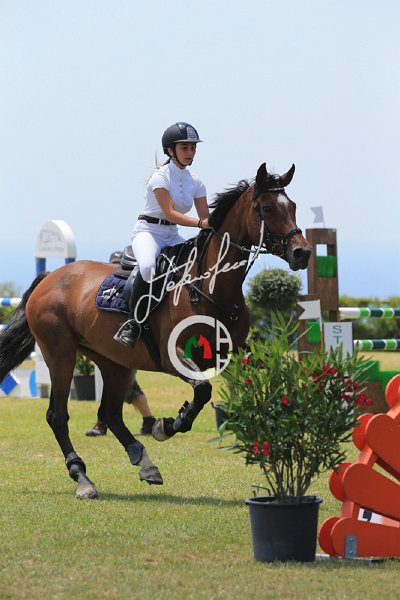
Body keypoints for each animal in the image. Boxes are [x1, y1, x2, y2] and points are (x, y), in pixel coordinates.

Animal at [0, 163, 311, 499]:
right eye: (267, 208)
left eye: (293, 206)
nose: (302, 253)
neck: (210, 287)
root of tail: (49, 278)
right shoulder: (173, 356)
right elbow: (202, 391)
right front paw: (168, 426)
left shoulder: (234, 353)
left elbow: (265, 382)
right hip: (61, 355)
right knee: (58, 416)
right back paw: (82, 477)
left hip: (114, 362)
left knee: (111, 413)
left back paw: (144, 462)